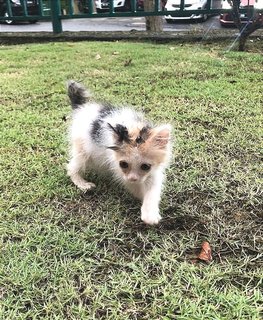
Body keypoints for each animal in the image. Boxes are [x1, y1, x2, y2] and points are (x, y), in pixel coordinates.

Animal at [67, 80, 172, 225]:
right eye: (123, 164)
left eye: (145, 166)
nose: (133, 178)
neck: (134, 128)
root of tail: (81, 108)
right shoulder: (120, 170)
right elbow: (133, 186)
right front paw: (142, 199)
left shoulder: (153, 172)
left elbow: (152, 189)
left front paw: (150, 211)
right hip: (82, 151)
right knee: (72, 167)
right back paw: (82, 184)